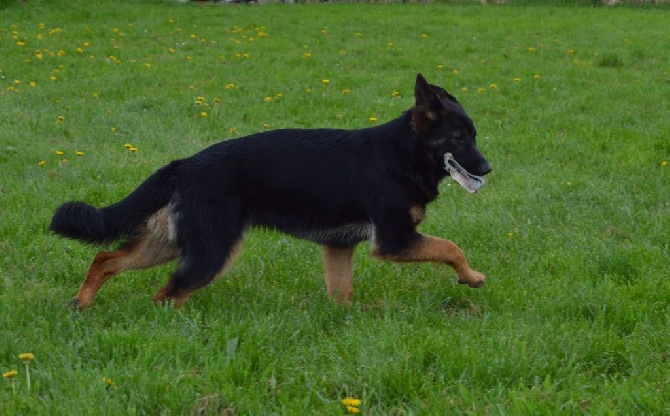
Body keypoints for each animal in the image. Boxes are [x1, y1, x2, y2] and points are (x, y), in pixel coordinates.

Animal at [50, 74, 494, 308]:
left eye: (474, 135)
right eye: (459, 138)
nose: (488, 169)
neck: (401, 155)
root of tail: (186, 163)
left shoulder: (339, 247)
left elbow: (342, 292)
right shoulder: (394, 241)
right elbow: (451, 247)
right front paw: (471, 277)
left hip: (174, 243)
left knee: (106, 258)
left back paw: (81, 304)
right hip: (211, 252)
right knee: (166, 293)